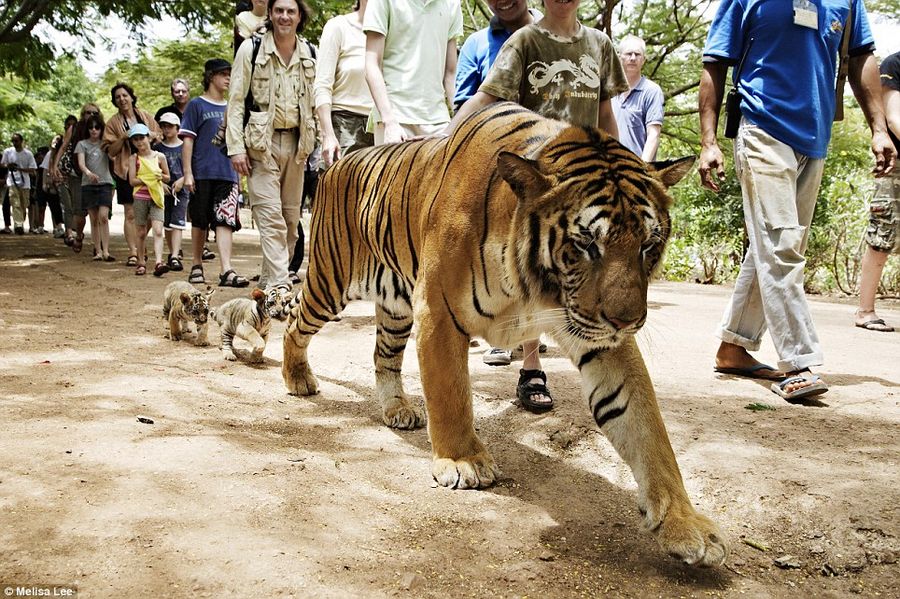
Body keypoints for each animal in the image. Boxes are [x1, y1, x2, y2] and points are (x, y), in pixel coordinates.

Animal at [284, 102, 728, 568]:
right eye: (587, 244)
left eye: (648, 244)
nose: (627, 322)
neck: (533, 285)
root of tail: (338, 163)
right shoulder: (438, 311)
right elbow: (451, 394)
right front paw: (462, 460)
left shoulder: (598, 339)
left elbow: (646, 427)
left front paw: (684, 522)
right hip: (331, 282)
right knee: (295, 320)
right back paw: (297, 378)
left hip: (395, 305)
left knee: (383, 357)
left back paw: (397, 409)